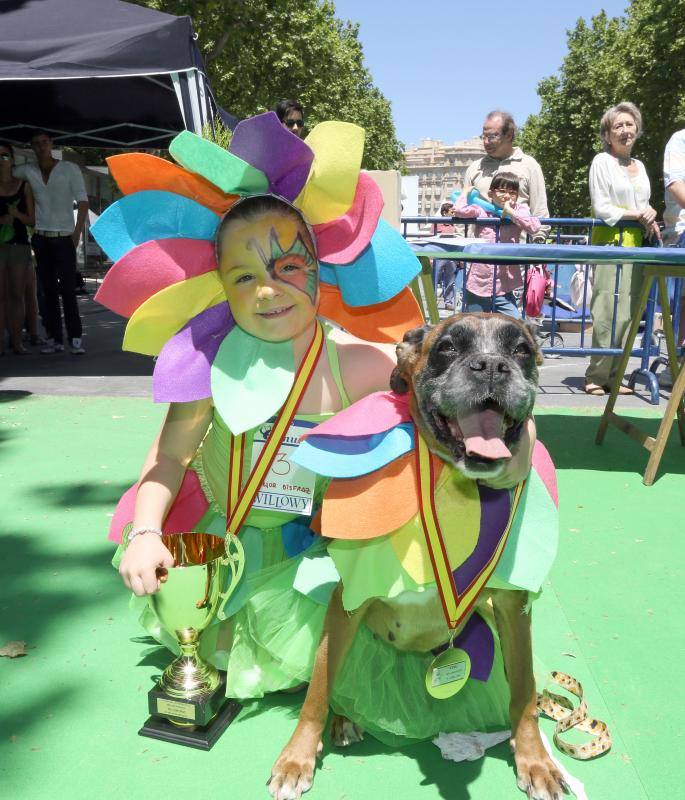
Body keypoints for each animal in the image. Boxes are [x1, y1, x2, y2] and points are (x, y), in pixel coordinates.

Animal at [268, 314, 568, 800]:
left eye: (521, 349)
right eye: (447, 347)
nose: (491, 366)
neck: (453, 487)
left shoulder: (512, 606)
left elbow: (523, 688)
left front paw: (535, 759)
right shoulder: (349, 600)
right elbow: (319, 687)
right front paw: (297, 757)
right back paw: (345, 718)